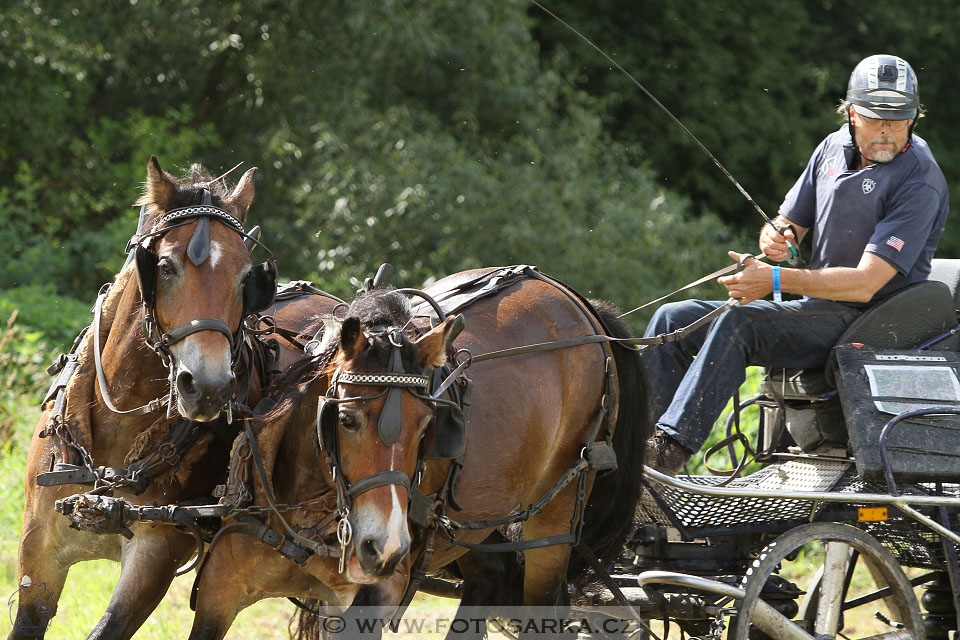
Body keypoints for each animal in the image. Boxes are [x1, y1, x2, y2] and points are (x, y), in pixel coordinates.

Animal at [186, 264, 652, 636]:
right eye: (346, 419)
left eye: (429, 425)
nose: (385, 548)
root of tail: (579, 303)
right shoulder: (219, 589)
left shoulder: (377, 593)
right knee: (492, 575)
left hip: (556, 516)